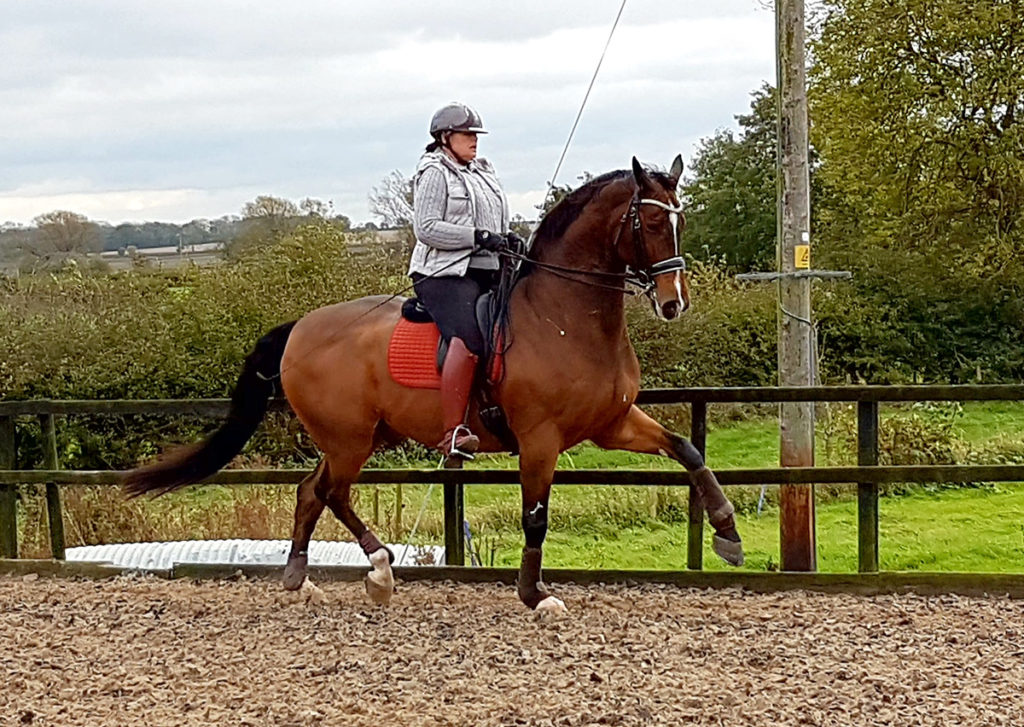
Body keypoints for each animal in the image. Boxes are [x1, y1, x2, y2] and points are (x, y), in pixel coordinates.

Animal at [123, 156, 744, 613]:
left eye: (681, 220)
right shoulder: (539, 441)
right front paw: (535, 595)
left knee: (310, 491)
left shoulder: (612, 423)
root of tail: (299, 327)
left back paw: (302, 577)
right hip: (350, 439)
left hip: (364, 436)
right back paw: (378, 570)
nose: (673, 303)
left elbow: (688, 451)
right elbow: (536, 516)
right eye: (651, 223)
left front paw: (727, 533)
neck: (564, 317)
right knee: (333, 493)